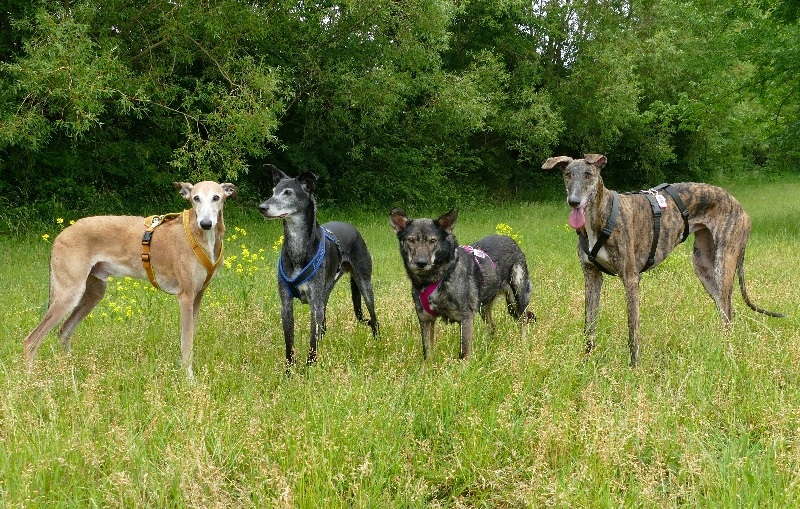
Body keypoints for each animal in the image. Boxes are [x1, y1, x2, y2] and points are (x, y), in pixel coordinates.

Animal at [390, 208, 536, 360]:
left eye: (433, 241)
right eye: (411, 240)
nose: (421, 263)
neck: (436, 278)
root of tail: (511, 240)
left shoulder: (466, 318)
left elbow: (464, 353)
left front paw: (464, 366)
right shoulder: (426, 319)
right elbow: (427, 352)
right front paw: (426, 367)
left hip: (517, 297)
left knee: (523, 321)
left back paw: (523, 347)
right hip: (483, 307)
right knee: (492, 327)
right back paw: (489, 348)